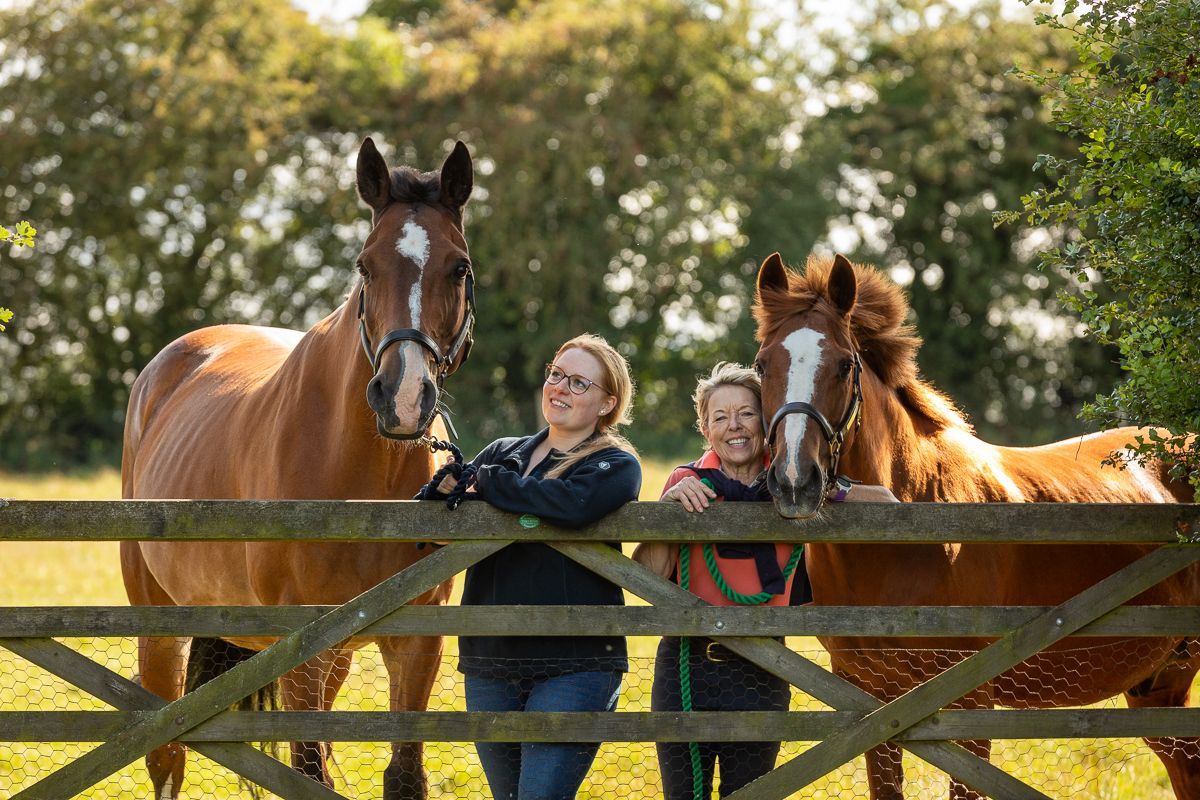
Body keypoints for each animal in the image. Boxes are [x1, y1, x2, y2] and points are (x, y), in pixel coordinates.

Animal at [120, 136, 475, 799]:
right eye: (365, 266)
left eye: (458, 267)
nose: (403, 396)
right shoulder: (300, 648)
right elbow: (306, 769)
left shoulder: (415, 643)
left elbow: (403, 774)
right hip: (159, 627)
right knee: (167, 756)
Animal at [751, 251, 1200, 799]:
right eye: (762, 364)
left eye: (843, 365)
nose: (795, 480)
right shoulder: (872, 705)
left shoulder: (968, 707)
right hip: (1159, 685)